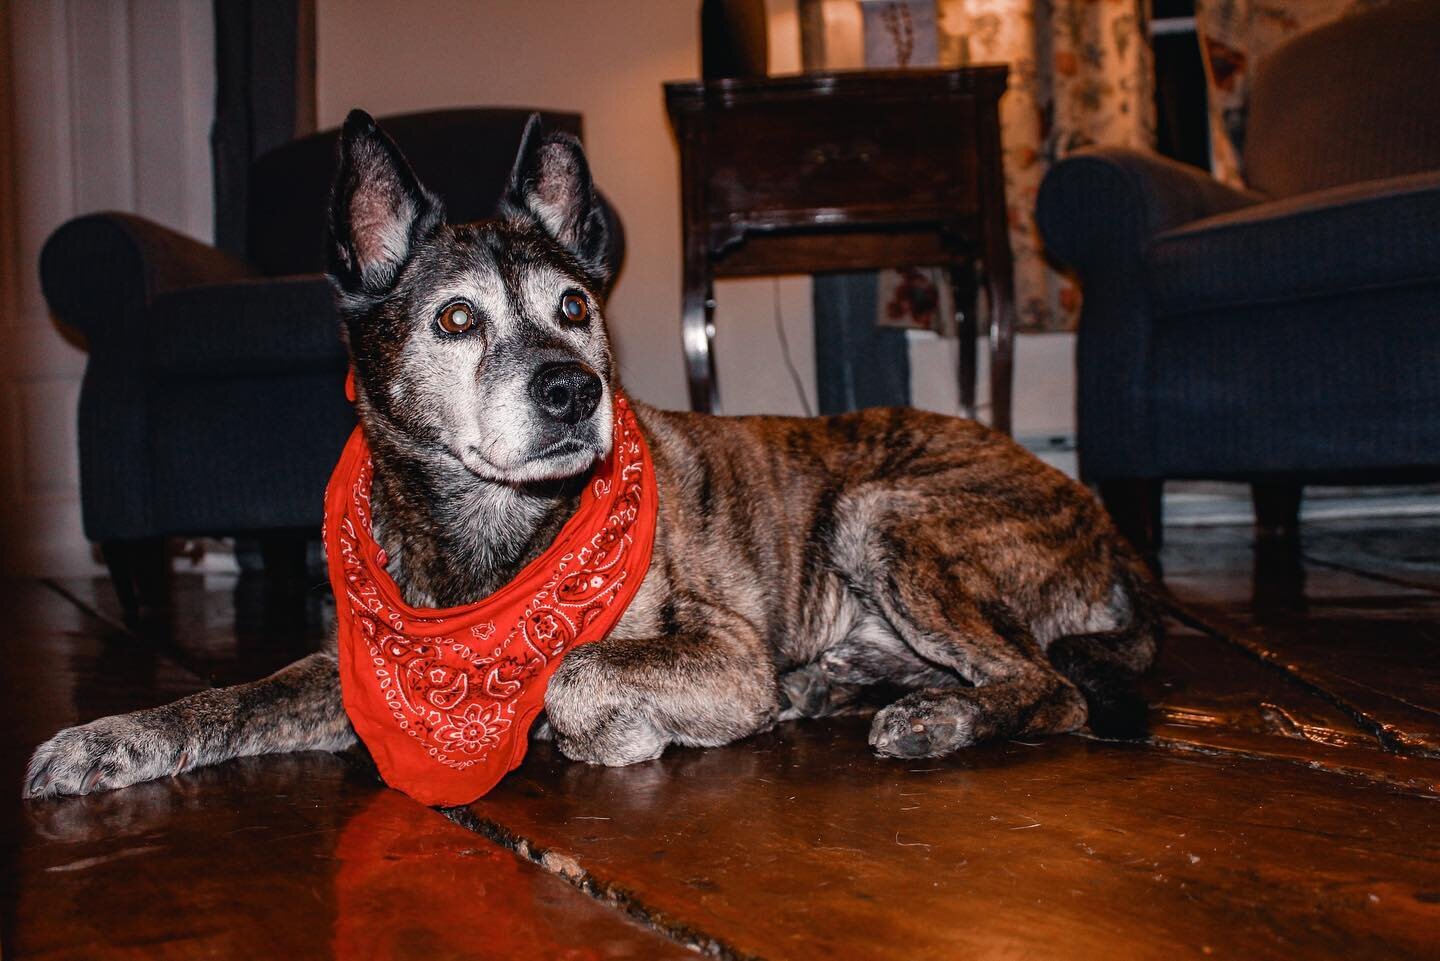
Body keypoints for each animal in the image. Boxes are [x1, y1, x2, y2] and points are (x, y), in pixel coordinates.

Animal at [22, 113, 1157, 801]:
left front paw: (611, 729)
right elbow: (232, 697)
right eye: (454, 318)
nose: (574, 388)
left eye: (574, 306)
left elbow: (573, 670)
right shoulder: (353, 666)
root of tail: (1105, 524)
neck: (490, 541)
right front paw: (107, 737)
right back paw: (832, 688)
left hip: (882, 511)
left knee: (1047, 685)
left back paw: (937, 718)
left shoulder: (717, 648)